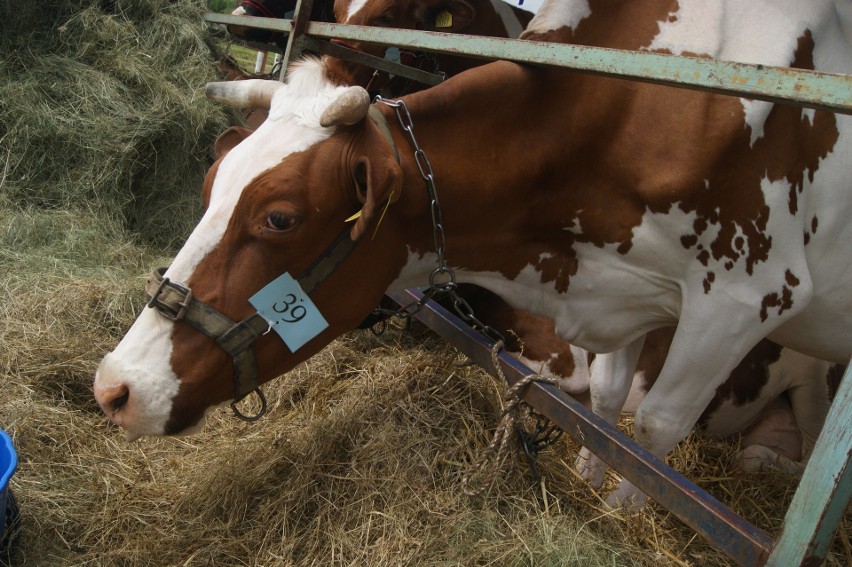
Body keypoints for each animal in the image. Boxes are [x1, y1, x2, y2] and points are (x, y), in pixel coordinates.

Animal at [95, 1, 852, 510]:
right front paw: (586, 479)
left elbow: (656, 433)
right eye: (211, 180)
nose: (114, 386)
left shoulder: (745, 298)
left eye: (279, 217)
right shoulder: (631, 297)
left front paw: (616, 512)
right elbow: (612, 410)